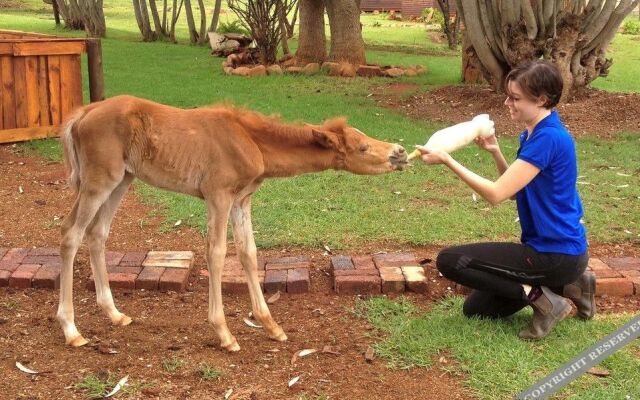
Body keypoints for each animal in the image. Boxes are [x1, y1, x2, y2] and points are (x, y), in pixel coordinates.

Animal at [60, 95, 408, 352]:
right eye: (363, 147)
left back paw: (114, 313)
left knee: (97, 233)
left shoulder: (242, 199)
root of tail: (83, 113)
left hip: (122, 179)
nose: (401, 152)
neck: (250, 139)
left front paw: (271, 325)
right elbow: (216, 253)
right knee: (71, 233)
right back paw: (71, 329)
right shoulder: (219, 195)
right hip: (99, 180)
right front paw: (224, 333)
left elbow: (247, 252)